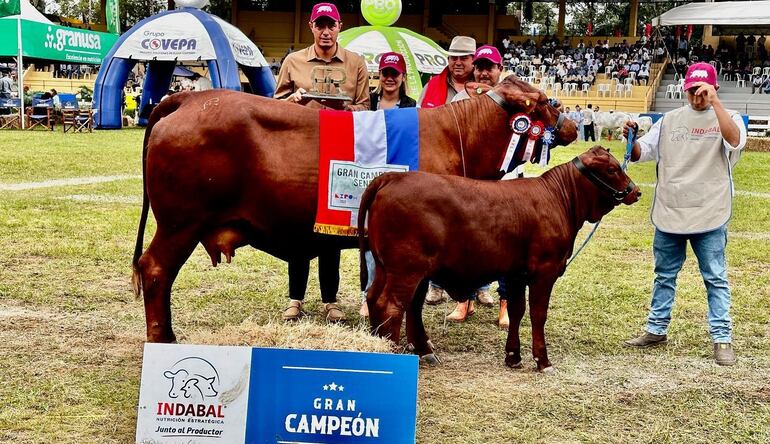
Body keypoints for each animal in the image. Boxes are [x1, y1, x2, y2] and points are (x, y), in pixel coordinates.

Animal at [132, 74, 576, 342]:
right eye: (545, 101)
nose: (572, 126)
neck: (457, 135)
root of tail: (191, 97)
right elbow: (410, 297)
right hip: (180, 222)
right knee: (155, 270)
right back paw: (163, 338)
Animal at [356, 147, 640, 372]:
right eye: (612, 169)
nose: (635, 191)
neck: (559, 198)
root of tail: (392, 177)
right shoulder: (545, 270)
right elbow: (538, 314)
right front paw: (543, 360)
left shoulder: (516, 273)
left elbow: (516, 311)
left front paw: (513, 356)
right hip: (407, 270)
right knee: (392, 306)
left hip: (388, 267)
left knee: (381, 300)